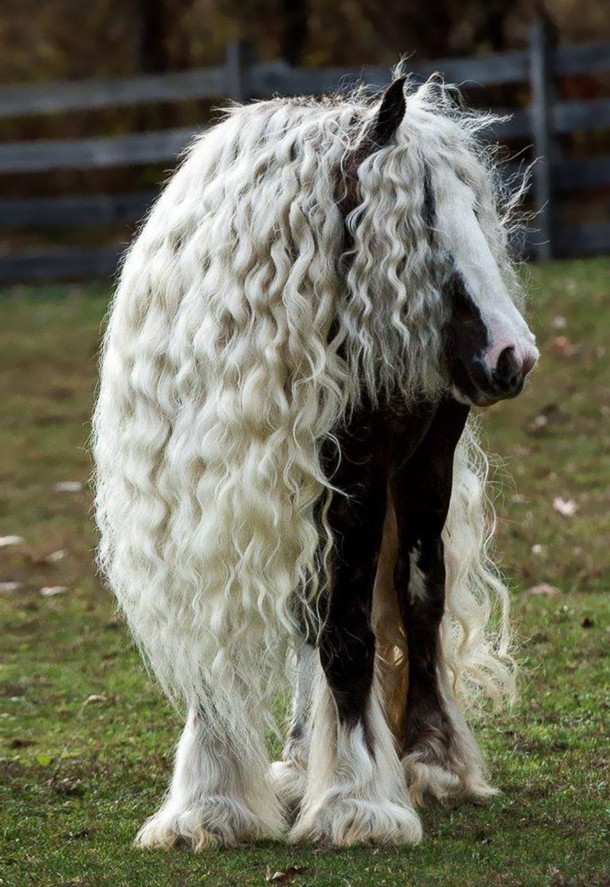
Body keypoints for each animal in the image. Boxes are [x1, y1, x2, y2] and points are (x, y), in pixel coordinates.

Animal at [91, 73, 536, 848]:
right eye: (422, 218)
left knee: (418, 597)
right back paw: (302, 762)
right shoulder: (205, 505)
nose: (514, 355)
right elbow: (235, 636)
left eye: (475, 212)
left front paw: (355, 799)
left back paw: (431, 761)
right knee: (313, 611)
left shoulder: (354, 480)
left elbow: (351, 632)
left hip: (422, 468)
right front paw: (211, 803)